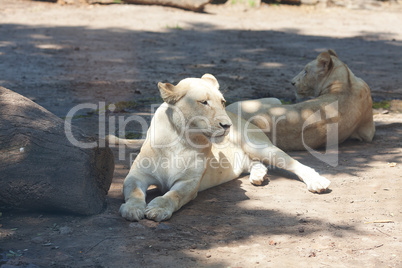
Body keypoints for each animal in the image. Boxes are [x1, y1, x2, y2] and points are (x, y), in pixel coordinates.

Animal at [112, 74, 330, 222]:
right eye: (204, 102)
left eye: (223, 102)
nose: (227, 125)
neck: (179, 139)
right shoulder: (137, 175)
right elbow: (134, 191)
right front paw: (132, 209)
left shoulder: (189, 182)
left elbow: (174, 195)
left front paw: (158, 209)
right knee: (256, 163)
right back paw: (258, 176)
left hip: (260, 147)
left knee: (295, 164)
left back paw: (317, 182)